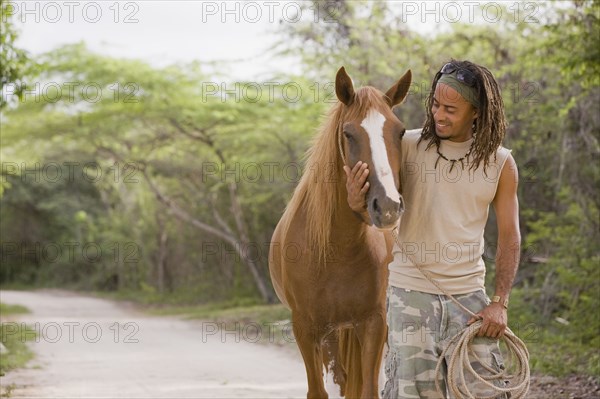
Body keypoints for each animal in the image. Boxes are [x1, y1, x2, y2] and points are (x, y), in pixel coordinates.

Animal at [268, 67, 412, 398]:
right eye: (349, 134)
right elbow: (318, 391)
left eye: (399, 132)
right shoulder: (305, 329)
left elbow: (369, 389)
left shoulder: (373, 323)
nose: (387, 206)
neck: (334, 248)